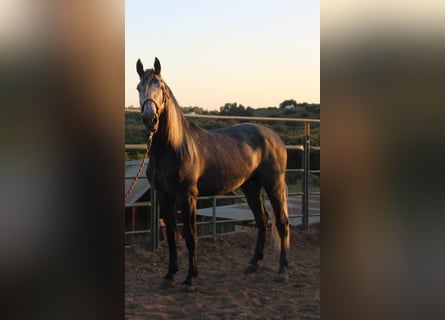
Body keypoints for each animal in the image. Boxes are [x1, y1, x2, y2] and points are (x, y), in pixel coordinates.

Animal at [135, 57, 290, 290]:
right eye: (138, 87)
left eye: (160, 87)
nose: (149, 119)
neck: (173, 147)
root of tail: (275, 137)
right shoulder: (165, 197)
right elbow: (171, 236)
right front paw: (169, 275)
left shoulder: (187, 196)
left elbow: (190, 235)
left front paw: (190, 279)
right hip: (251, 187)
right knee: (262, 220)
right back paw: (253, 263)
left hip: (274, 186)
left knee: (281, 223)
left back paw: (282, 270)